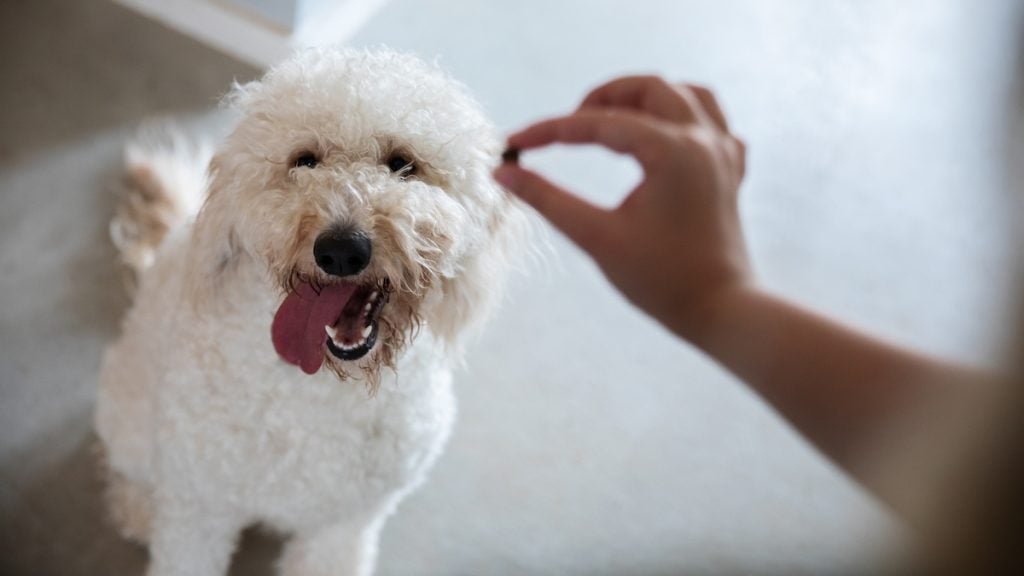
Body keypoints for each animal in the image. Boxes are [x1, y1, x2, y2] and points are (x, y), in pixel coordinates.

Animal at [96, 48, 528, 573]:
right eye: (304, 160)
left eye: (403, 164)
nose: (341, 250)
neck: (318, 388)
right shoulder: (199, 508)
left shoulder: (344, 526)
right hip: (131, 418)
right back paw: (139, 507)